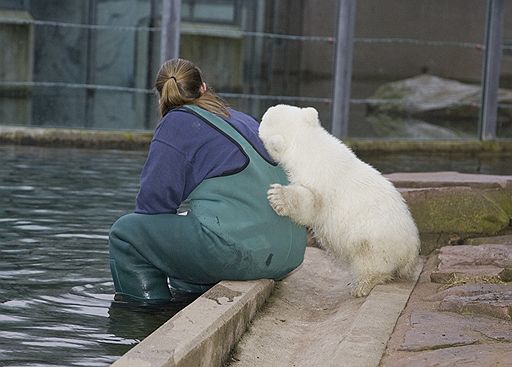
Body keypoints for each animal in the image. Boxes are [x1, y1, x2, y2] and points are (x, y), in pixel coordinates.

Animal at [260, 105, 420, 298]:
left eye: (262, 120)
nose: (263, 113)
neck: (311, 147)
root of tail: (412, 251)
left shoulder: (318, 185)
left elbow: (310, 205)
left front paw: (277, 195)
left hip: (375, 239)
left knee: (370, 260)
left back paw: (362, 285)